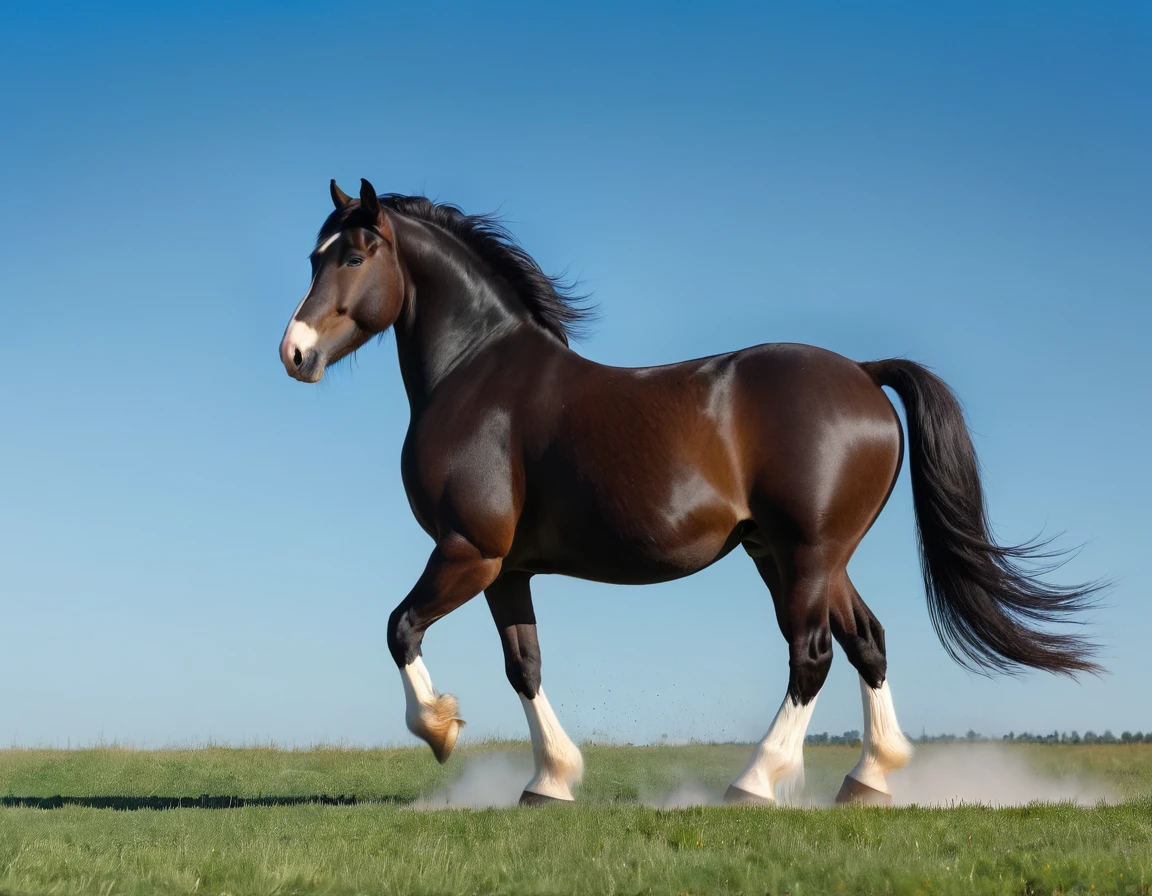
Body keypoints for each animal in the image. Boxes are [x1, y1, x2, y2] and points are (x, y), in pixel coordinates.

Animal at [278, 178, 1101, 806]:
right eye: (313, 255)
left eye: (354, 253)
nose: (296, 352)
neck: (480, 375)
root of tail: (865, 373)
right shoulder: (506, 569)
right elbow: (526, 667)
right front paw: (551, 782)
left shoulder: (466, 552)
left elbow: (400, 629)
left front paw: (443, 730)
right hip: (800, 556)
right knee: (866, 641)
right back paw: (869, 779)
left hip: (806, 555)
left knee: (811, 654)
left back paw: (757, 782)